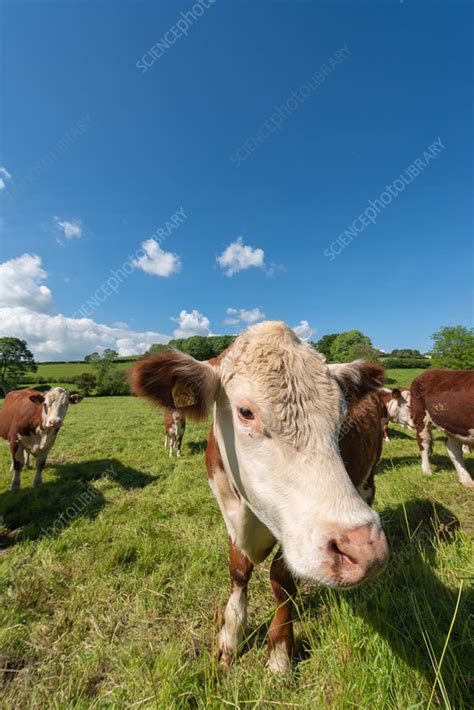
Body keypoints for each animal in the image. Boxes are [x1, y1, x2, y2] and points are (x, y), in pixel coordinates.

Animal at [131, 322, 390, 672]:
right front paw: (231, 637)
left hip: (368, 479)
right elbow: (238, 569)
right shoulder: (228, 508)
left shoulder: (294, 530)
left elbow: (281, 580)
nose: (364, 548)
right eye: (245, 411)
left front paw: (280, 652)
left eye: (340, 415)